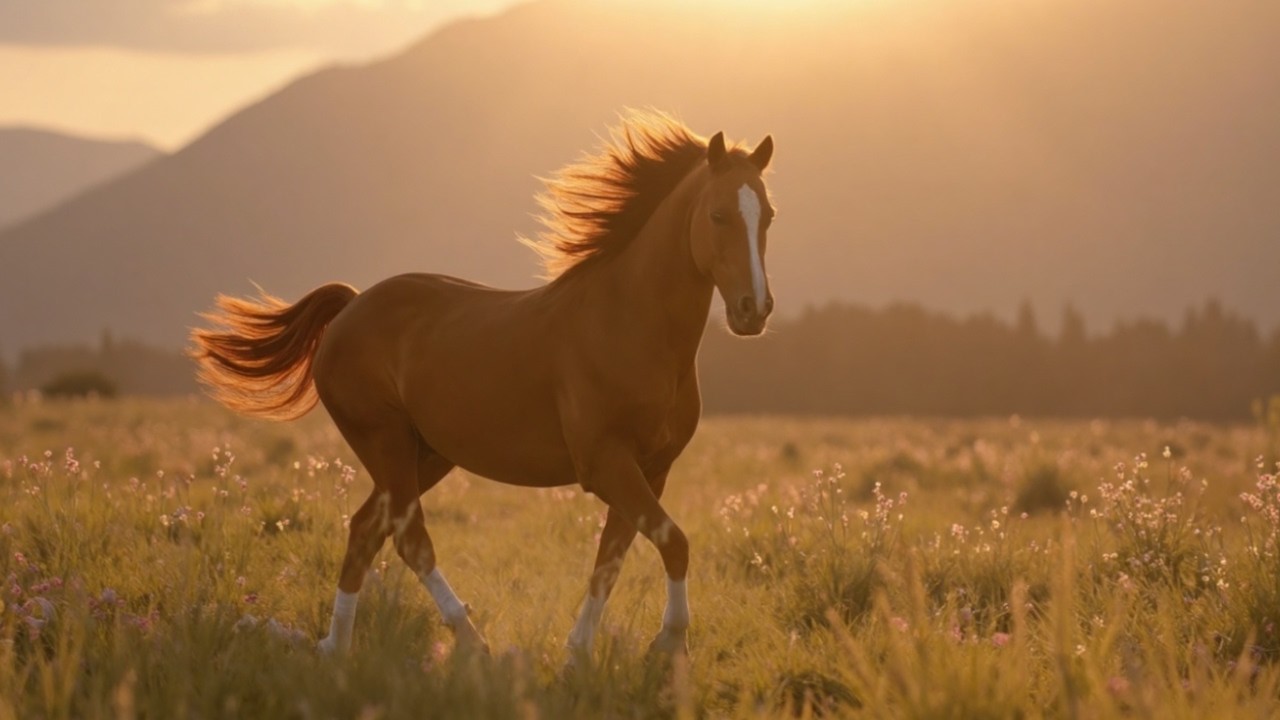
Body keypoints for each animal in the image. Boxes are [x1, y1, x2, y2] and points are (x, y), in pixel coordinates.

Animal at [190, 111, 776, 661]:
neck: (629, 324)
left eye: (768, 215)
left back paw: (336, 648)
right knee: (409, 537)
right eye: (718, 214)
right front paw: (669, 642)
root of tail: (351, 306)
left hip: (426, 454)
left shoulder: (652, 468)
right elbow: (672, 541)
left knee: (364, 530)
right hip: (386, 440)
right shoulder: (607, 461)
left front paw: (578, 651)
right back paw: (472, 642)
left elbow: (612, 557)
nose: (754, 310)